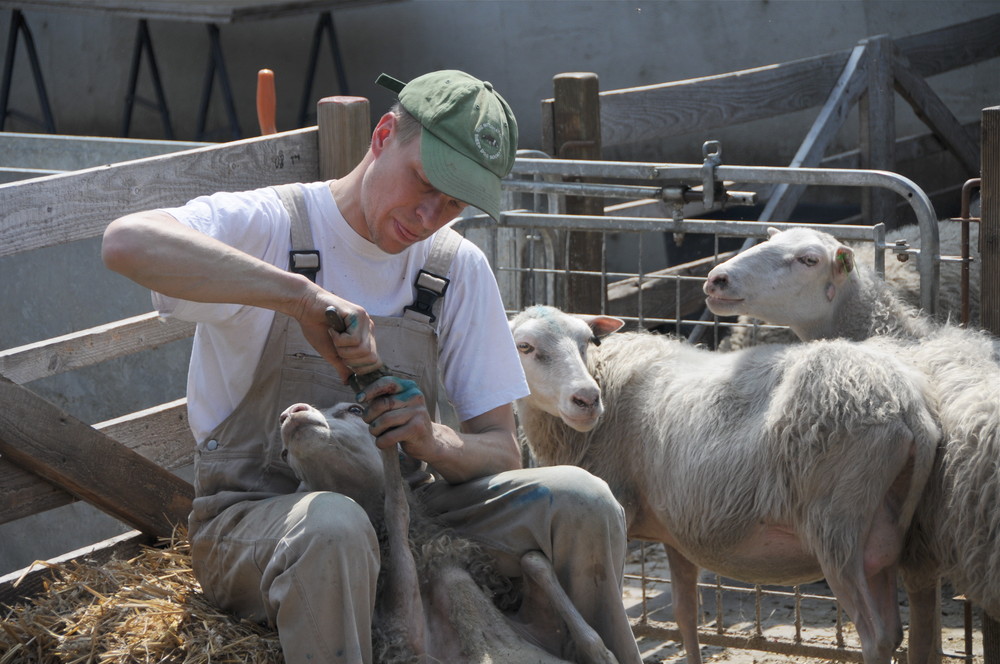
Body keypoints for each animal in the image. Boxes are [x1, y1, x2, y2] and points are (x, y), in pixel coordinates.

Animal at [276, 400, 616, 664]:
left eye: (355, 409)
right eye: (284, 455)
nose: (292, 413)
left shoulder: (540, 633)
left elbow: (533, 560)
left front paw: (604, 654)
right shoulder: (406, 637)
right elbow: (397, 508)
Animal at [512, 306, 940, 664]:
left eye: (589, 341)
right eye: (524, 346)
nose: (586, 399)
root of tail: (907, 404)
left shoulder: (619, 511)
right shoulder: (675, 531)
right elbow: (686, 614)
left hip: (837, 524)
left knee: (875, 637)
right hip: (882, 535)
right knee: (896, 631)